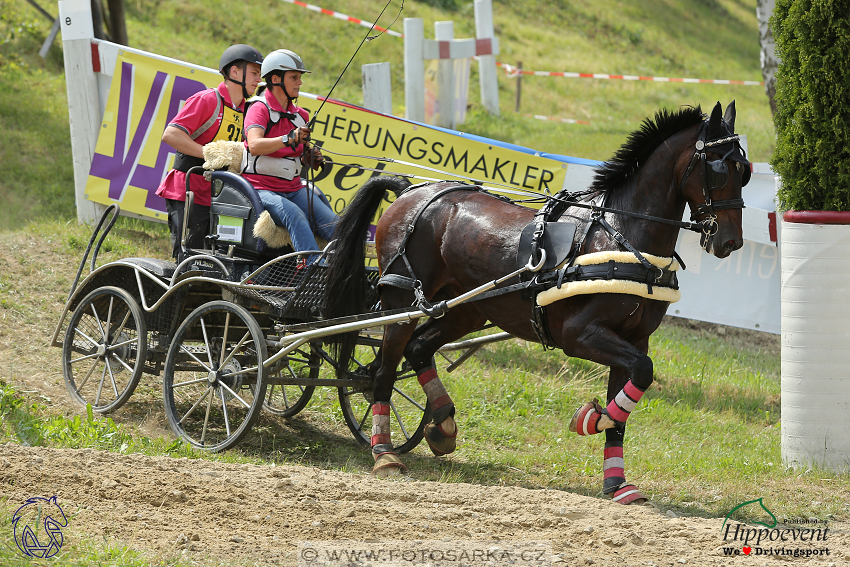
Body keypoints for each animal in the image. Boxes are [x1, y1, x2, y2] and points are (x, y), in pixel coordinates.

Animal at [324, 102, 748, 506]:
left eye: (745, 171)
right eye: (717, 168)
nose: (730, 241)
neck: (621, 236)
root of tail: (411, 192)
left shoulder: (633, 340)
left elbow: (629, 397)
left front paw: (616, 482)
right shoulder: (580, 335)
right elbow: (642, 374)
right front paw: (589, 419)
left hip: (465, 309)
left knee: (418, 349)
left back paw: (442, 422)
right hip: (402, 301)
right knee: (384, 371)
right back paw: (384, 452)